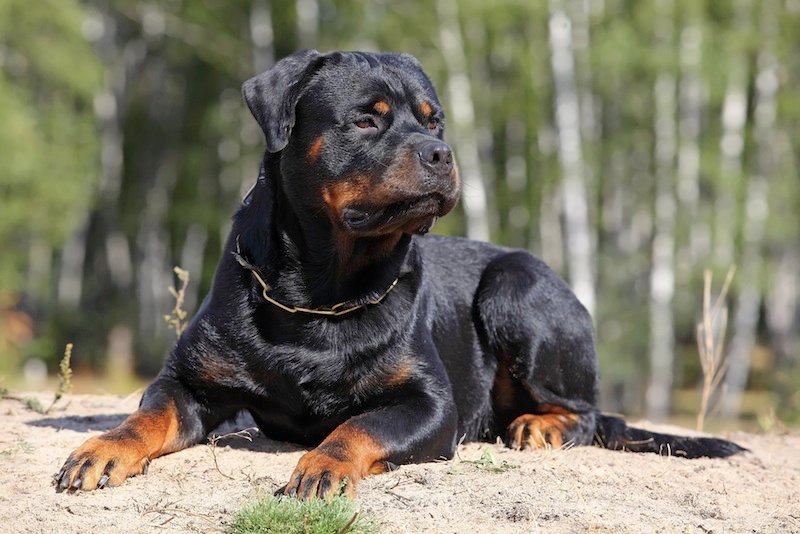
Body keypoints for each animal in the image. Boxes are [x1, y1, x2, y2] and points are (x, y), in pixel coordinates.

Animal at [56, 50, 744, 502]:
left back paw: (538, 425)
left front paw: (324, 463)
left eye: (433, 120)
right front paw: (103, 447)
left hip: (518, 287)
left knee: (588, 412)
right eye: (368, 119)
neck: (322, 290)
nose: (442, 153)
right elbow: (148, 414)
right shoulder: (190, 381)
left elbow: (360, 424)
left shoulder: (428, 404)